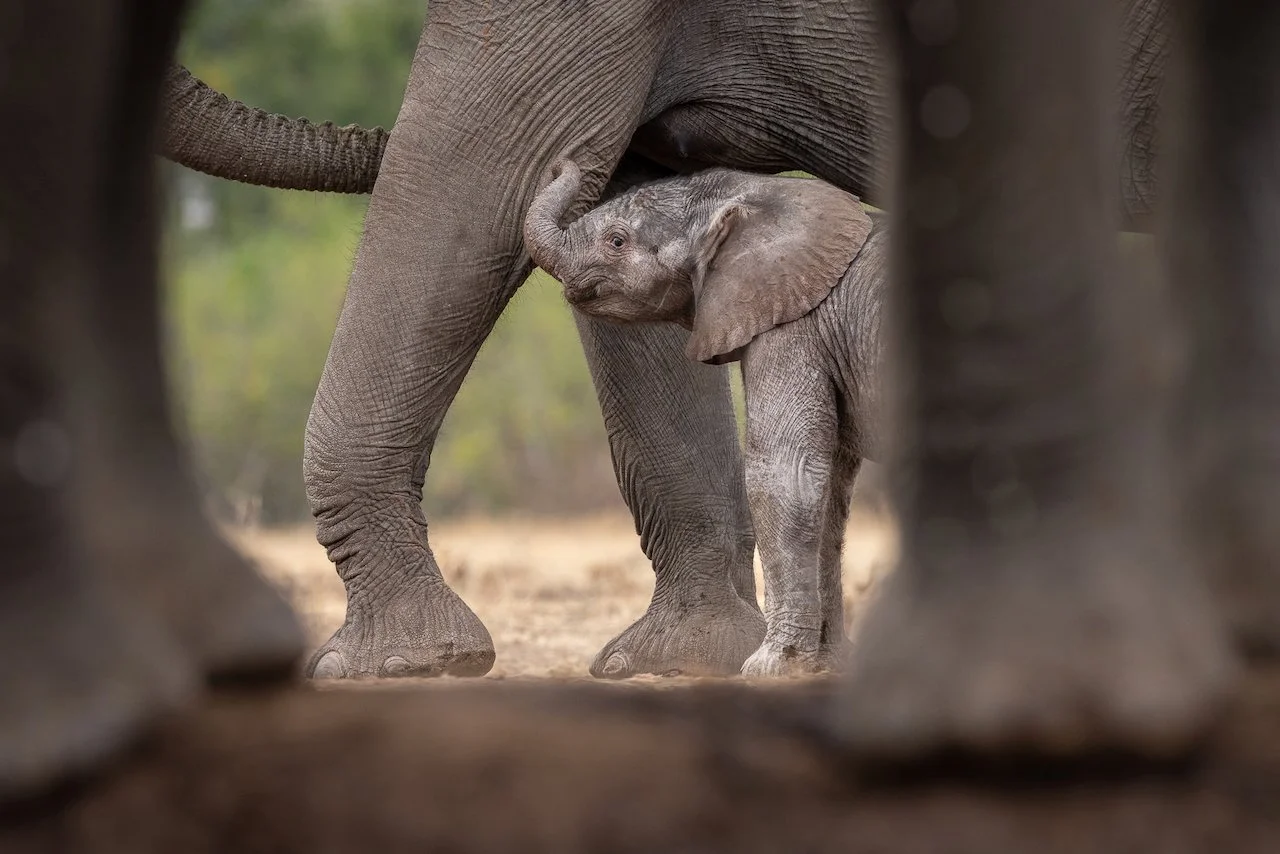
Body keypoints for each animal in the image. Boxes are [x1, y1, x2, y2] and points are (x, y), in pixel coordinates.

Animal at [524, 162, 889, 677]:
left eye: (617, 241)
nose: (562, 164)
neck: (753, 192)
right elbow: (831, 492)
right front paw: (824, 668)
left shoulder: (791, 328)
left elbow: (784, 474)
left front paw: (768, 669)